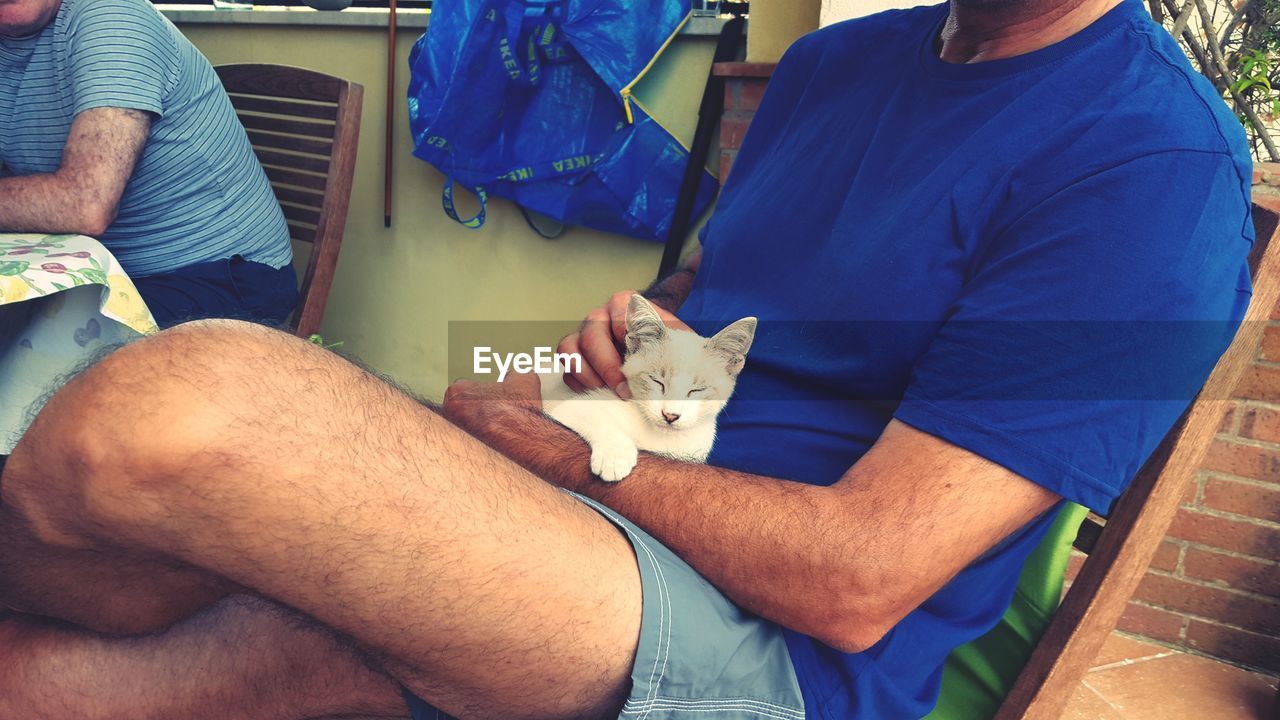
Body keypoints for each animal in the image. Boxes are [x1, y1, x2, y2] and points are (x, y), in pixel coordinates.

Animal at [542, 294, 757, 479]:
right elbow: (593, 416)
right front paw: (615, 454)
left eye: (697, 390)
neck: (662, 439)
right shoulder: (564, 408)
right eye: (656, 381)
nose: (670, 415)